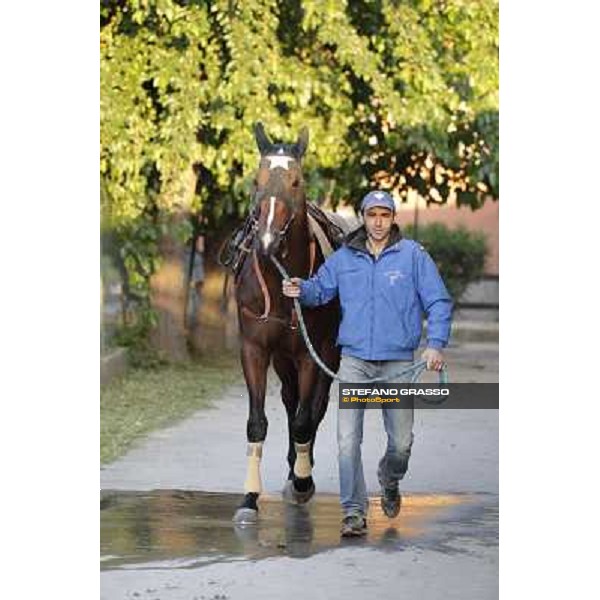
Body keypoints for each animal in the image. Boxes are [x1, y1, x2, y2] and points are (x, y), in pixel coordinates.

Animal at [231, 123, 340, 524]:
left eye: (296, 181)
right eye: (256, 179)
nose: (265, 241)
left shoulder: (312, 354)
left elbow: (306, 419)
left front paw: (303, 484)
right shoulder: (255, 349)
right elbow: (257, 421)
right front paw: (249, 498)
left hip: (325, 353)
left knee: (313, 408)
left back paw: (301, 476)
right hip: (282, 358)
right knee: (292, 400)